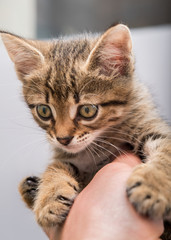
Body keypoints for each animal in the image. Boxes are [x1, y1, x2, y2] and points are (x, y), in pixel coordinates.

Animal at [0, 23, 170, 238]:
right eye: (44, 111)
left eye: (87, 110)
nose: (63, 138)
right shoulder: (67, 155)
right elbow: (56, 165)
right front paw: (49, 198)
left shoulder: (151, 127)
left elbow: (167, 152)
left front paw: (153, 185)